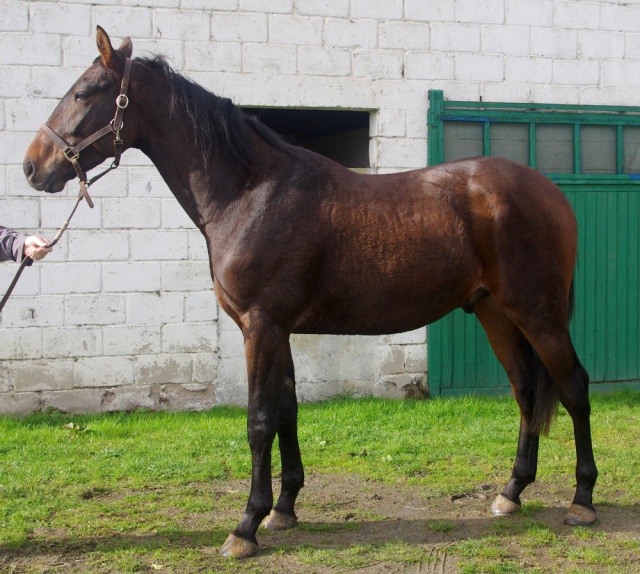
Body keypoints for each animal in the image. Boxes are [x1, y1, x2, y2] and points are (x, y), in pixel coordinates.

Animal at [21, 27, 600, 560]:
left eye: (85, 91)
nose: (32, 166)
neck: (250, 191)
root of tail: (552, 192)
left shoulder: (261, 326)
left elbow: (259, 421)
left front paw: (245, 527)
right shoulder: (277, 329)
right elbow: (286, 410)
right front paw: (283, 509)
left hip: (538, 314)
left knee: (573, 386)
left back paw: (582, 500)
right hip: (494, 312)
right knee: (526, 392)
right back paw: (511, 492)